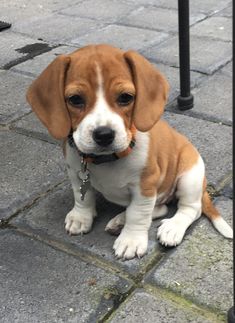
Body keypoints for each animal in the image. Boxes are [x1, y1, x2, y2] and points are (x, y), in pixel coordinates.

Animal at [26, 44, 233, 260]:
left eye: (125, 97)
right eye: (75, 99)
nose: (104, 134)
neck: (106, 160)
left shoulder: (145, 187)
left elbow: (138, 214)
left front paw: (131, 240)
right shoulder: (75, 173)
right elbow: (82, 196)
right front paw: (81, 216)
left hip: (189, 176)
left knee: (190, 209)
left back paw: (171, 228)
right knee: (161, 208)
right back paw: (119, 221)